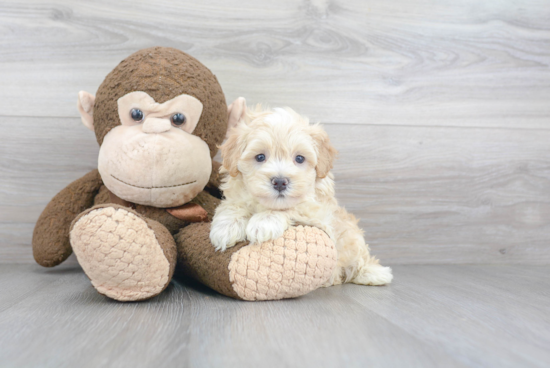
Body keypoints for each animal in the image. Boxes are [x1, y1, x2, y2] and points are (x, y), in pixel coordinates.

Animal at [209, 105, 394, 286]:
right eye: (260, 157)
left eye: (299, 158)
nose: (280, 182)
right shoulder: (236, 194)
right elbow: (233, 205)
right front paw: (226, 228)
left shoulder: (321, 216)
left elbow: (294, 208)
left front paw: (264, 222)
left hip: (353, 241)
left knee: (359, 260)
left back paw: (374, 274)